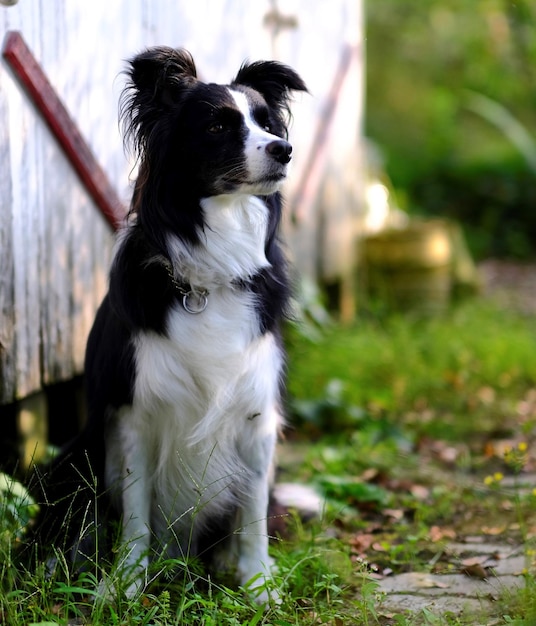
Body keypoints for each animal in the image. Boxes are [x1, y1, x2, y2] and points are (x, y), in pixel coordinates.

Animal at [33, 46, 306, 604]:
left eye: (266, 123)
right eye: (219, 125)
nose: (285, 150)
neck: (209, 273)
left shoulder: (256, 413)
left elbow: (253, 516)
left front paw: (259, 585)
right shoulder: (133, 414)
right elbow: (136, 514)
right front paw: (124, 584)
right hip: (75, 456)